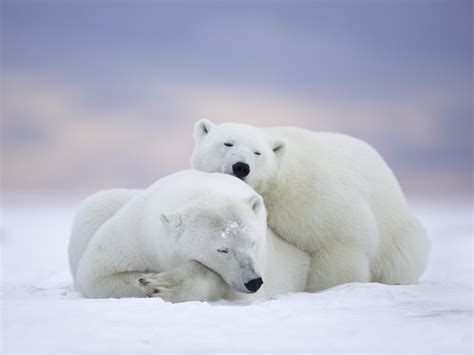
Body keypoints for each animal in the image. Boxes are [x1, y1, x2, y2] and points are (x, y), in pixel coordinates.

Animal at [68, 171, 310, 302]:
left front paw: (161, 284)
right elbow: (98, 276)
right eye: (222, 249)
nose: (253, 281)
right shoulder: (136, 234)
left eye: (253, 242)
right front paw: (149, 281)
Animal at [191, 120, 432, 292]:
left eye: (257, 152)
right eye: (227, 143)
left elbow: (341, 240)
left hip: (397, 234)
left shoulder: (315, 196)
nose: (241, 166)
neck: (278, 185)